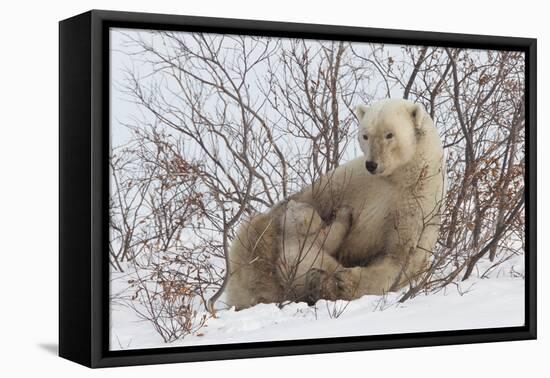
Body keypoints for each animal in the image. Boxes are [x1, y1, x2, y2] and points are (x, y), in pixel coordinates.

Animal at [213, 97, 446, 310]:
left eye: (389, 134)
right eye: (365, 135)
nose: (372, 164)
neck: (398, 177)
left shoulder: (414, 204)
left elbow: (396, 257)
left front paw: (342, 282)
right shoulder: (350, 181)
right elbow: (314, 201)